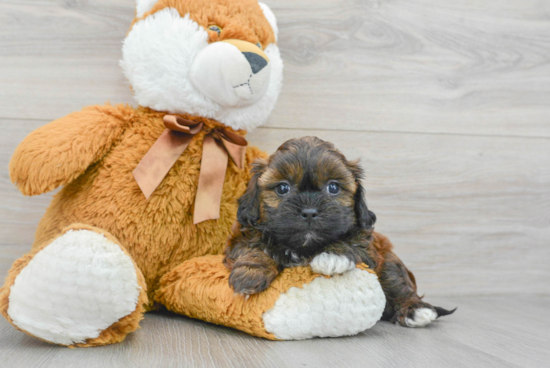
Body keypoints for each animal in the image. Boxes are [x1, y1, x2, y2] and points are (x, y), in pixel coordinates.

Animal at [224, 137, 458, 326]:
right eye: (282, 188)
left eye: (333, 187)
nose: (309, 212)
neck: (305, 247)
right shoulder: (242, 236)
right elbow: (254, 247)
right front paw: (250, 273)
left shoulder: (370, 246)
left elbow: (354, 242)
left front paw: (333, 256)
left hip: (389, 262)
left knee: (396, 282)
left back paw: (415, 310)